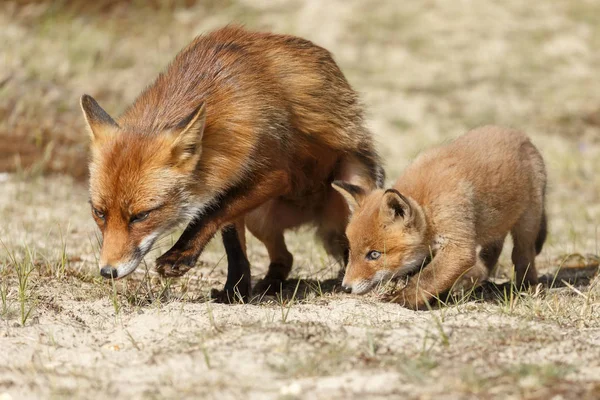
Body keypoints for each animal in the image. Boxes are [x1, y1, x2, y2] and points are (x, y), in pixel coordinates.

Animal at [81, 25, 384, 300]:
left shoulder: (273, 174)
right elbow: (232, 244)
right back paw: (271, 285)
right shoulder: (228, 178)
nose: (108, 271)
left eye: (141, 215)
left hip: (354, 190)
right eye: (99, 213)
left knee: (352, 249)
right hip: (259, 219)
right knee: (286, 257)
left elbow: (211, 214)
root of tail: (310, 216)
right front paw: (234, 292)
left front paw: (179, 255)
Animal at [336, 126, 548, 310]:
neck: (426, 206)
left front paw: (403, 298)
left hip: (526, 224)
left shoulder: (457, 245)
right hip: (493, 225)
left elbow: (427, 277)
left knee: (522, 254)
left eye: (374, 255)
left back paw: (528, 286)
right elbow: (434, 276)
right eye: (351, 251)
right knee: (491, 255)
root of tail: (523, 136)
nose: (346, 287)